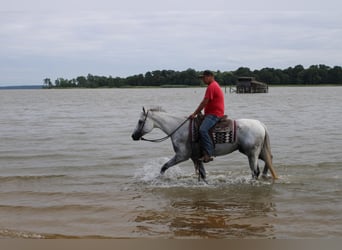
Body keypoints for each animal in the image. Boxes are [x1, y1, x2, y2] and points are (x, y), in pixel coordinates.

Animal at [131, 107, 278, 182]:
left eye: (140, 121)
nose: (133, 136)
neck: (179, 128)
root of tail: (260, 124)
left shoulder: (182, 156)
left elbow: (164, 167)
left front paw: (158, 179)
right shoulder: (196, 157)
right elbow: (202, 174)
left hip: (252, 153)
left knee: (255, 171)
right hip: (255, 151)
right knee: (268, 160)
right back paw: (266, 175)